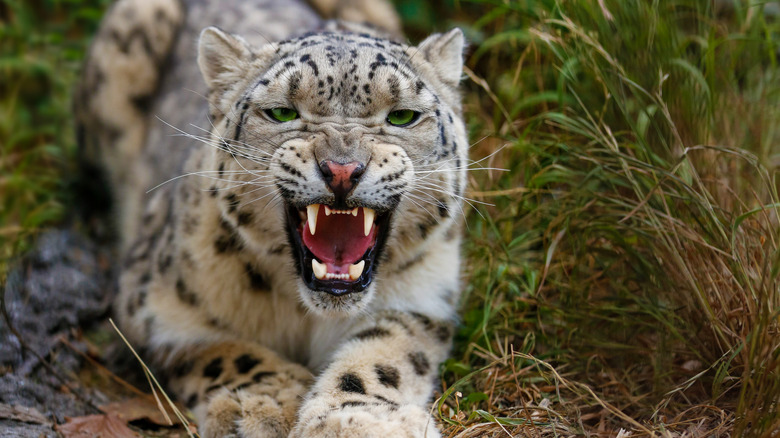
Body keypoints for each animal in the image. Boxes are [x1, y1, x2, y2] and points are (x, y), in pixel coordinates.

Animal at [76, 0, 466, 436]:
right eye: (281, 112)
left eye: (401, 116)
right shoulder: (154, 309)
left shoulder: (422, 298)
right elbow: (224, 349)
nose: (342, 169)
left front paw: (358, 420)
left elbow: (384, 354)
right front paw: (264, 405)